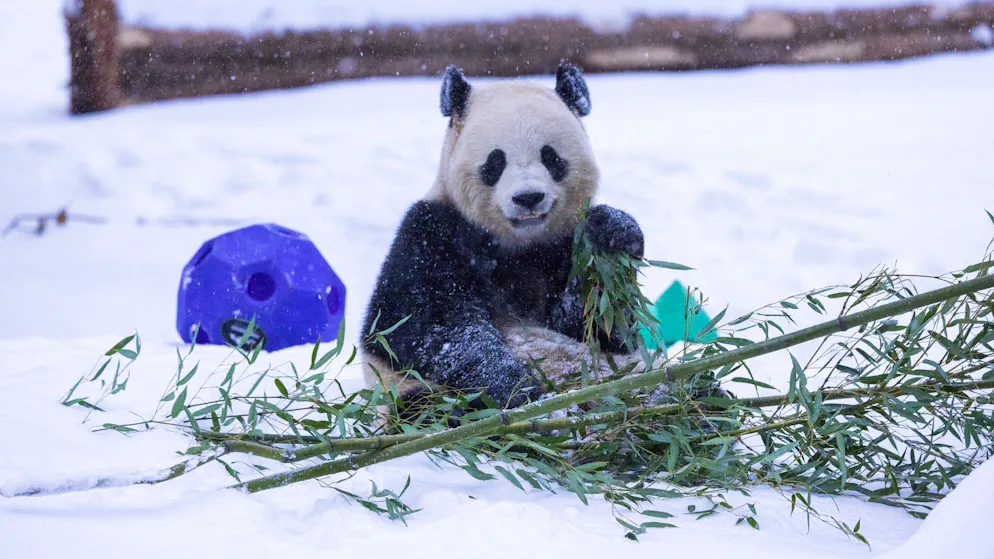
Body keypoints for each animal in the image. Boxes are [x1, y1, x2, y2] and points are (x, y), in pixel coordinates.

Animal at [361, 63, 646, 413]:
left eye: (551, 157)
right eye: (496, 161)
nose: (528, 197)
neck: (519, 245)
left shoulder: (564, 243)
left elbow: (599, 324)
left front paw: (612, 233)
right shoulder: (432, 234)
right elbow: (422, 325)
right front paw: (514, 387)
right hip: (405, 394)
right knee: (427, 406)